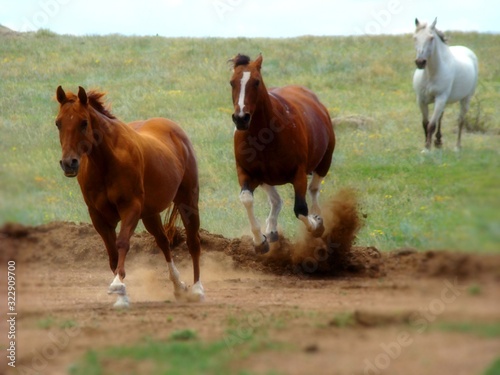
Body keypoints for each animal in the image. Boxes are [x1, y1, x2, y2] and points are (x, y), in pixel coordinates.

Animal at [54, 86, 203, 306]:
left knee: (193, 242)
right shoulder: (98, 216)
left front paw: (118, 285)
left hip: (188, 201)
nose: (69, 163)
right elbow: (112, 254)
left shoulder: (130, 207)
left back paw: (198, 289)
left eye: (84, 122)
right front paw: (121, 296)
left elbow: (122, 242)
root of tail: (174, 129)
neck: (106, 162)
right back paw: (178, 287)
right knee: (163, 242)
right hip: (150, 214)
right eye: (58, 123)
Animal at [230, 54, 336, 254]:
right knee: (276, 200)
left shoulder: (299, 173)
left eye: (256, 82)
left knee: (313, 189)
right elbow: (246, 199)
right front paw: (260, 240)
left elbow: (301, 209)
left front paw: (316, 224)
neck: (264, 135)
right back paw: (271, 230)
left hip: (324, 162)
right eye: (232, 82)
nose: (241, 118)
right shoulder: (247, 172)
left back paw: (317, 216)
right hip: (265, 178)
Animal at [412, 17, 478, 153]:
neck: (431, 73)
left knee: (461, 120)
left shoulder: (440, 98)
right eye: (415, 37)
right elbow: (425, 124)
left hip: (465, 99)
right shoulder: (421, 100)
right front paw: (426, 146)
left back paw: (457, 147)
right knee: (441, 117)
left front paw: (427, 149)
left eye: (431, 38)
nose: (420, 62)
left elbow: (431, 125)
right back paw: (438, 141)